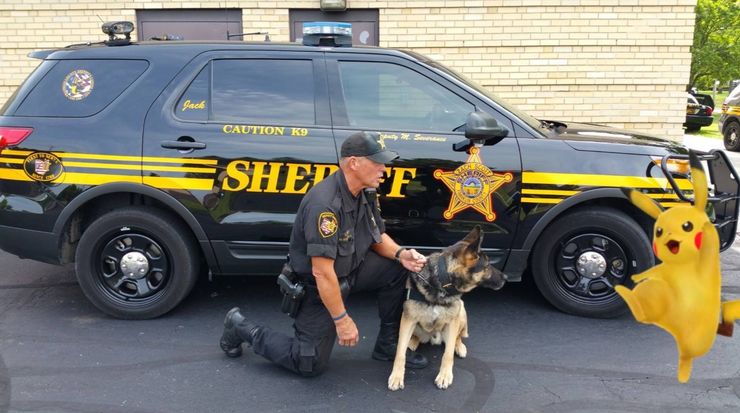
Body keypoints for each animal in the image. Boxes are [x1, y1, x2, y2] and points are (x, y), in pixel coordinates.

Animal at [388, 225, 502, 390]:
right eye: (486, 266)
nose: (505, 278)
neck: (441, 282)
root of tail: (434, 338)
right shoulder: (408, 319)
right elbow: (400, 352)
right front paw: (397, 376)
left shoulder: (453, 322)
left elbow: (447, 355)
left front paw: (444, 376)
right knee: (415, 337)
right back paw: (412, 341)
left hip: (461, 312)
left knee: (457, 337)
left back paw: (459, 346)